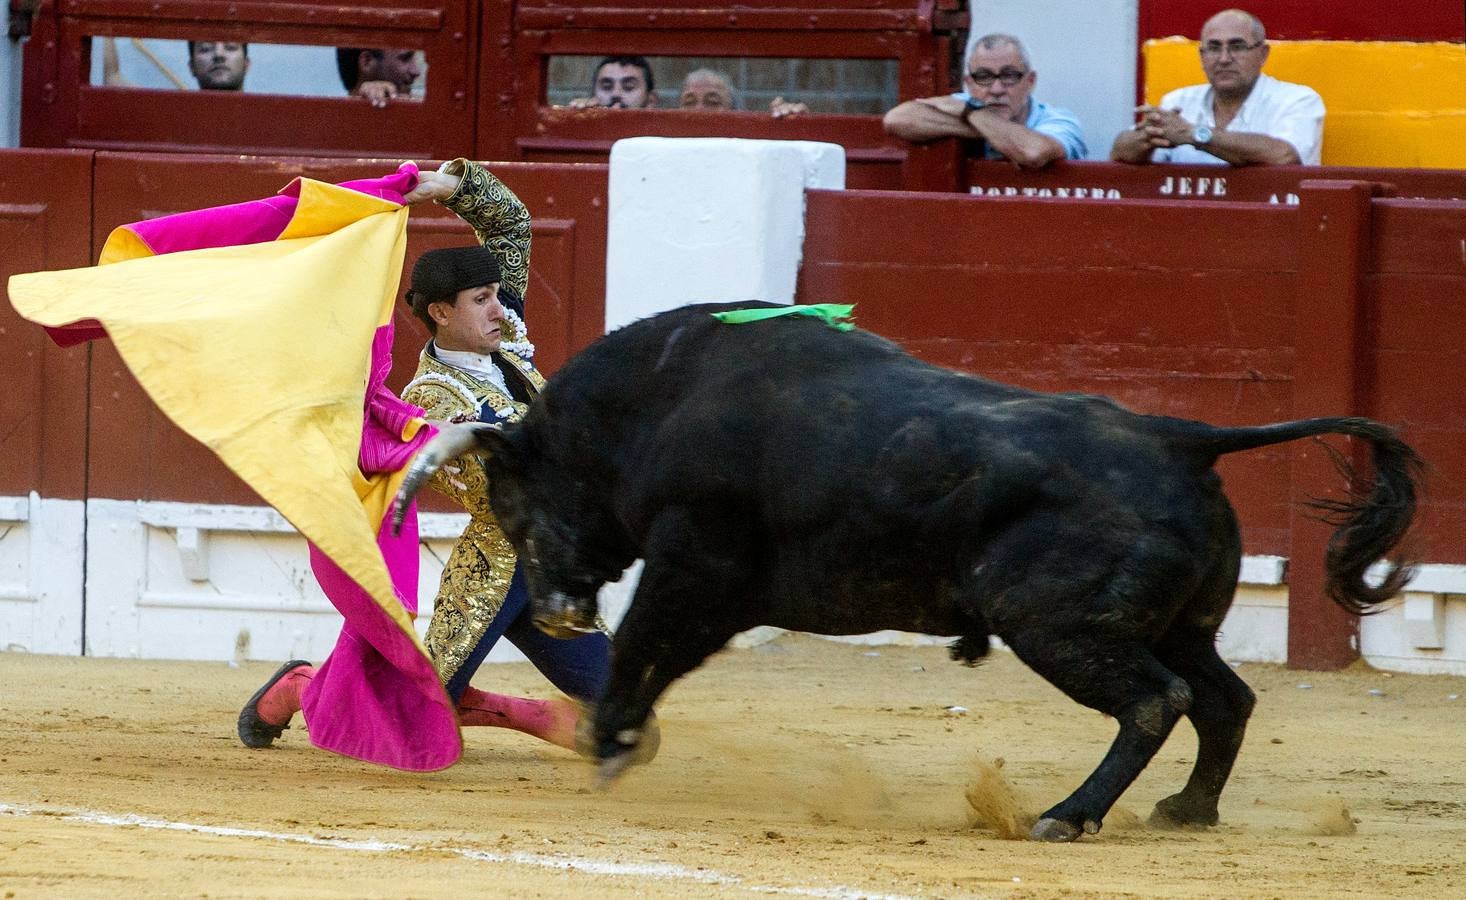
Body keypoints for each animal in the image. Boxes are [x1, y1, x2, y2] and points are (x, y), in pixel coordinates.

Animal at [389, 304, 1419, 844]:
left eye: (517, 503)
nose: (559, 611)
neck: (655, 405)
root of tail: (1183, 437)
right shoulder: (719, 591)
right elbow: (660, 657)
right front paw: (621, 736)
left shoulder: (695, 567)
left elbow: (645, 642)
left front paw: (608, 739)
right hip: (1174, 621)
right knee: (1223, 696)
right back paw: (1187, 810)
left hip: (1055, 623)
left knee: (1155, 700)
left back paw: (1064, 816)